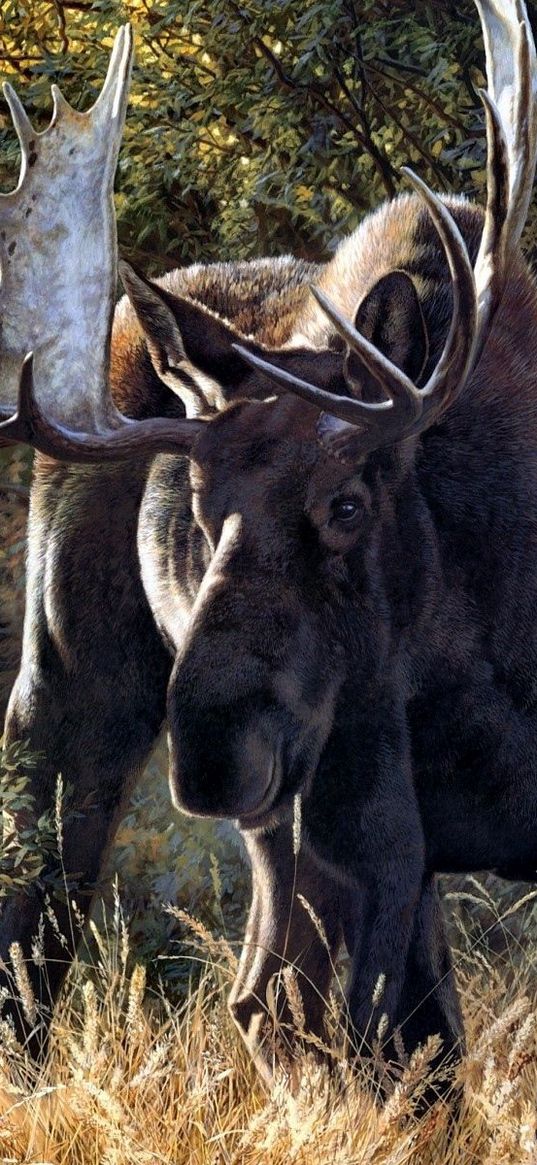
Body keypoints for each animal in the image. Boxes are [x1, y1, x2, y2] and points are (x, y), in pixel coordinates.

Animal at [1, 0, 535, 1081]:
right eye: (200, 513)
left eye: (348, 503)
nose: (210, 743)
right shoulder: (359, 812)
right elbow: (378, 1033)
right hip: (77, 680)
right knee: (51, 879)